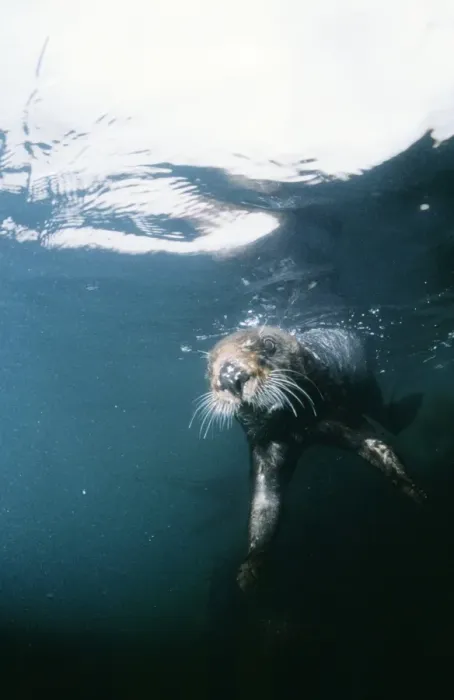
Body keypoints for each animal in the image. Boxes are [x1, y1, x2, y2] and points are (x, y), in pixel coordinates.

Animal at [192, 325, 425, 592]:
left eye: (269, 344)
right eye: (209, 366)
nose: (230, 376)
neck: (296, 424)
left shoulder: (338, 415)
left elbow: (376, 446)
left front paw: (416, 492)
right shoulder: (266, 447)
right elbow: (264, 504)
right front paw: (249, 569)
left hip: (368, 388)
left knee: (385, 414)